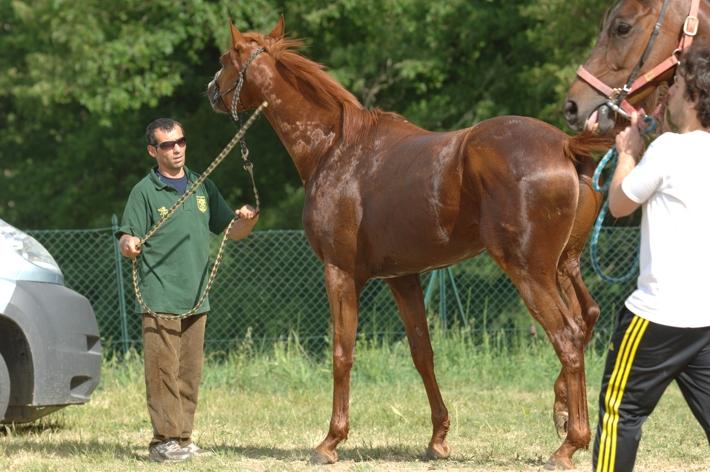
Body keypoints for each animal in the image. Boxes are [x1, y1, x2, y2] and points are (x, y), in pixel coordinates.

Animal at [207, 17, 612, 468]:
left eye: (224, 59)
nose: (211, 92)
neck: (335, 148)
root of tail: (564, 146)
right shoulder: (403, 278)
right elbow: (423, 354)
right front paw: (438, 438)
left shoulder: (339, 272)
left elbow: (342, 352)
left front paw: (331, 441)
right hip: (563, 266)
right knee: (586, 319)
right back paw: (563, 416)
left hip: (530, 273)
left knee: (568, 337)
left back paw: (569, 443)